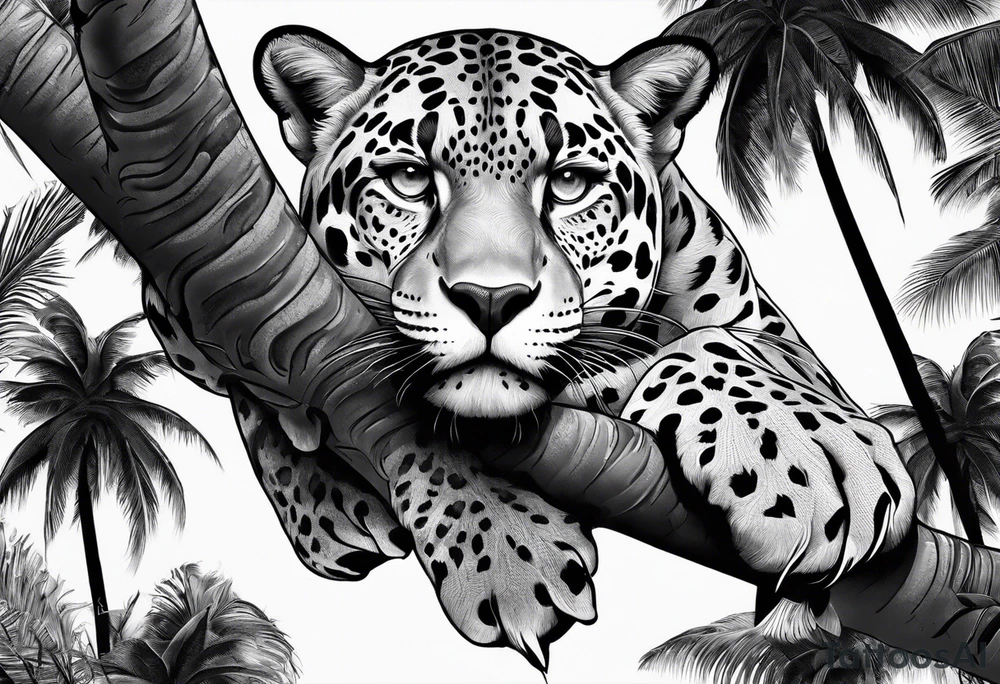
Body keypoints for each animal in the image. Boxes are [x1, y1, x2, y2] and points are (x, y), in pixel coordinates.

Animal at [141, 25, 915, 676]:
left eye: (570, 183)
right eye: (409, 178)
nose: (491, 298)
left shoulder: (770, 332)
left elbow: (721, 348)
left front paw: (809, 459)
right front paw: (511, 549)